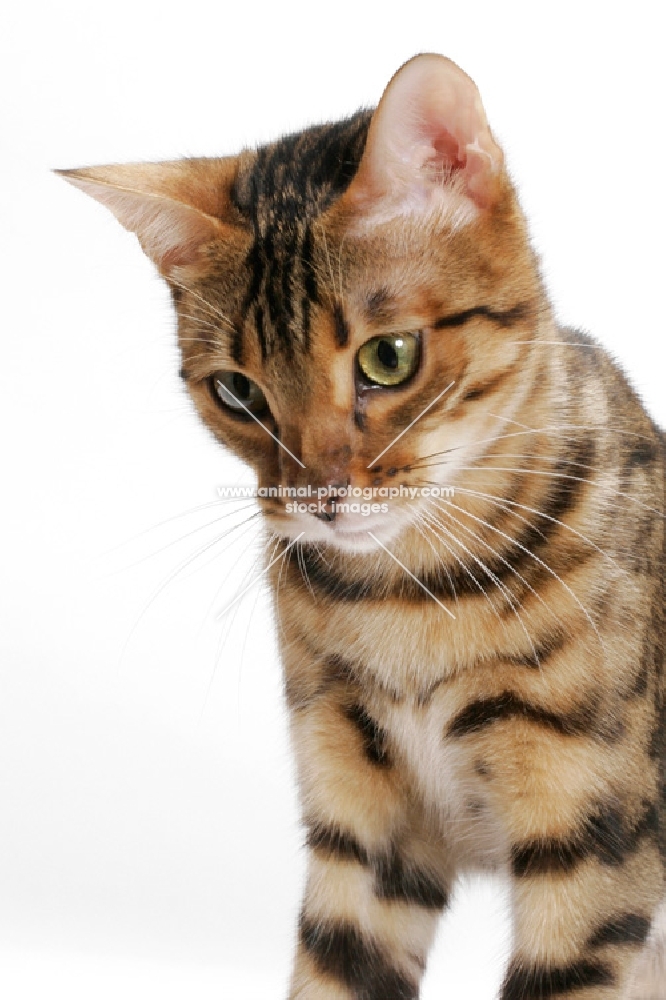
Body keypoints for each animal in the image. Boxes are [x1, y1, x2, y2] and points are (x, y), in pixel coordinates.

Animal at [59, 56, 660, 1000]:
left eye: (389, 356)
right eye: (238, 393)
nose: (318, 497)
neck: (404, 600)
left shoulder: (593, 838)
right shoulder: (361, 825)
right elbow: (335, 967)